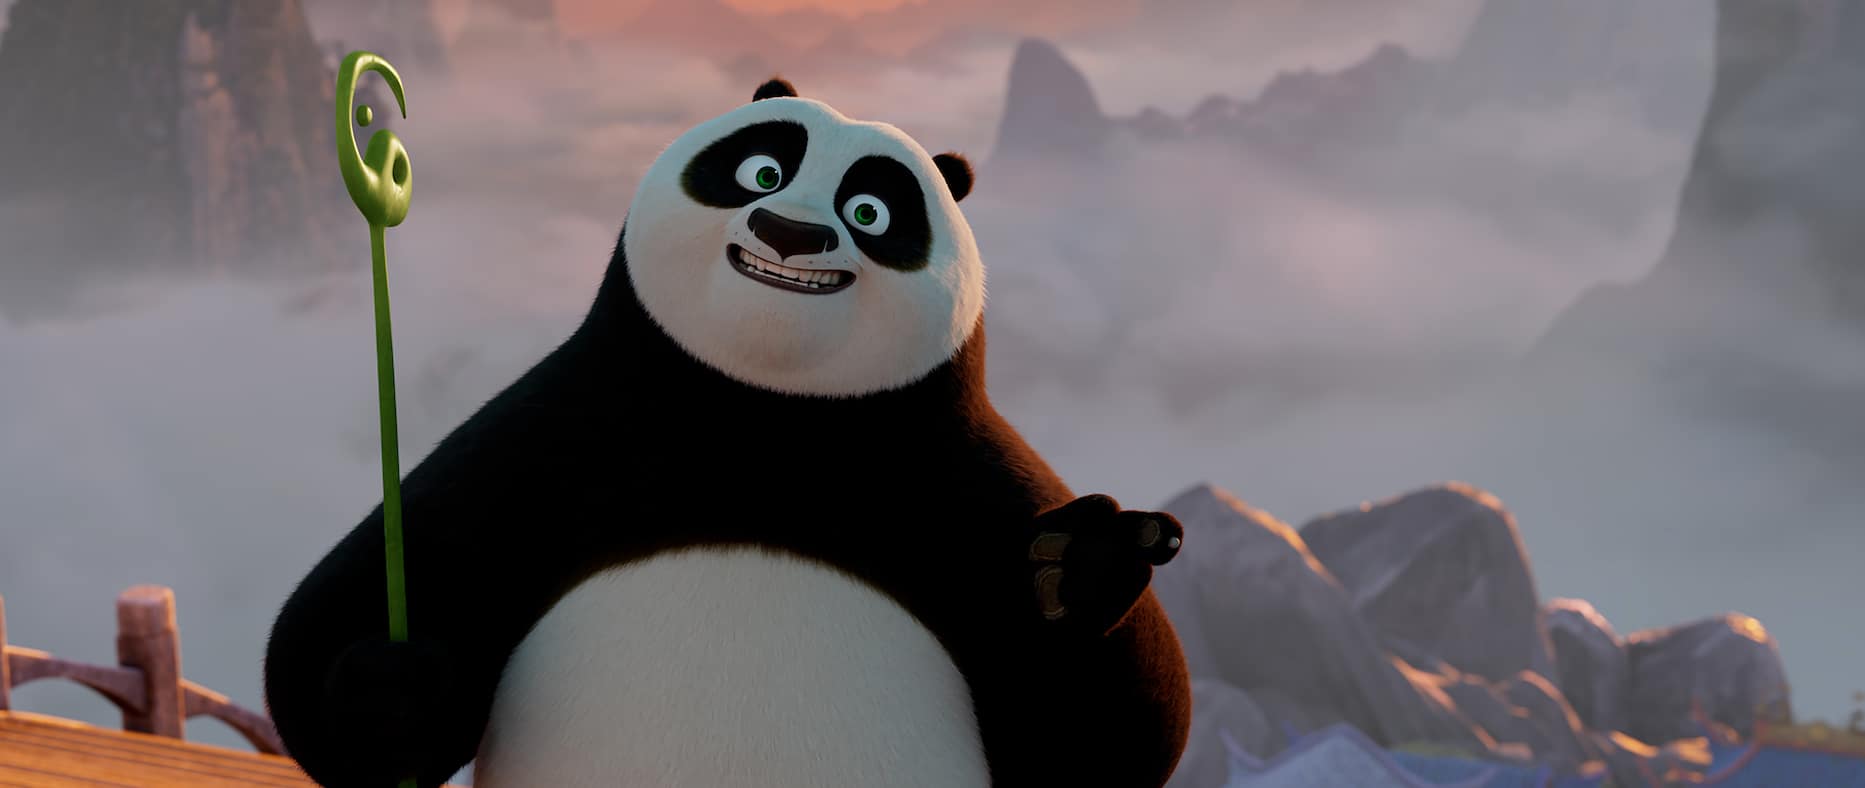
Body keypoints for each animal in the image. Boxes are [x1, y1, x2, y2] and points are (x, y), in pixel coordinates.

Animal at [264, 78, 1191, 788]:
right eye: (759, 170)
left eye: (871, 211)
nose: (790, 233)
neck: (762, 417)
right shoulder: (546, 443)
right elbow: (336, 624)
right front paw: (395, 694)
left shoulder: (959, 481)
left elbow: (1109, 741)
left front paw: (1081, 569)